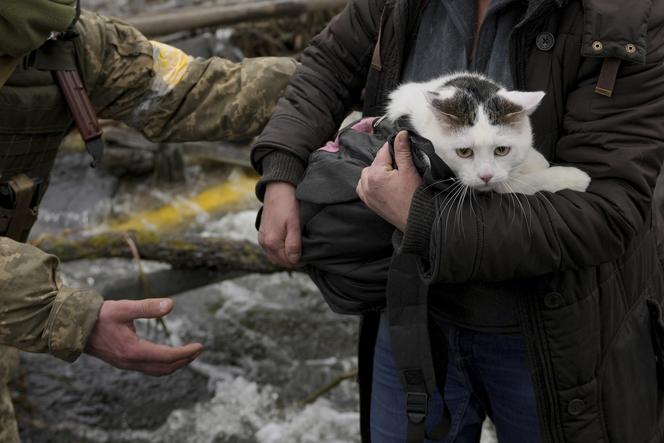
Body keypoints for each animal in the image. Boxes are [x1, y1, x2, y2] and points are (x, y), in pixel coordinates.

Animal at [386, 73, 588, 194]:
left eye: (502, 150)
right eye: (463, 152)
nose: (486, 177)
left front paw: (536, 159)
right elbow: (529, 182)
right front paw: (574, 178)